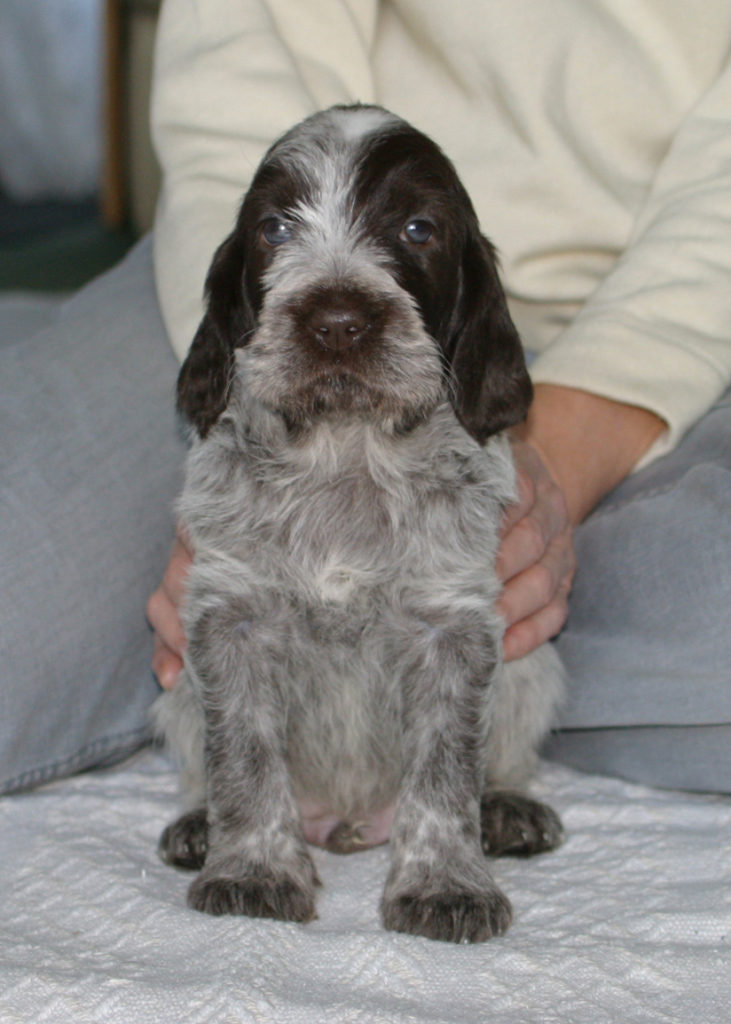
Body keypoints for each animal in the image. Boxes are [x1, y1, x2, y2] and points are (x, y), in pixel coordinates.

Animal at [155, 105, 565, 942]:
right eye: (275, 228)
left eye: (417, 228)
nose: (337, 321)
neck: (345, 446)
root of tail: (344, 824)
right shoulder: (228, 618)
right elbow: (243, 756)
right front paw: (252, 868)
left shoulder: (453, 626)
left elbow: (444, 772)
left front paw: (445, 882)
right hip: (176, 687)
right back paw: (199, 826)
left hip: (531, 664)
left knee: (498, 758)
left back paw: (505, 808)